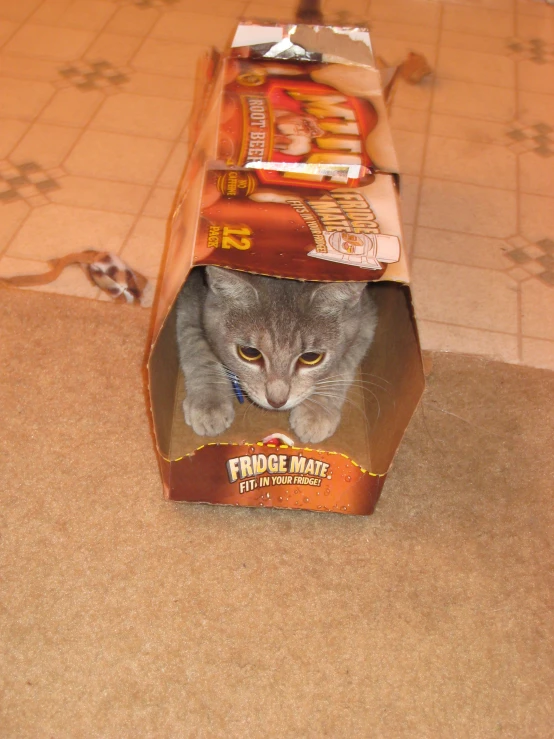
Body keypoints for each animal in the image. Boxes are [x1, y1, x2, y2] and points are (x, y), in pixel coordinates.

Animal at [177, 268, 376, 446]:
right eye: (250, 353)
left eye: (311, 357)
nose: (276, 401)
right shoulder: (190, 302)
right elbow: (201, 351)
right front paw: (209, 404)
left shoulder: (366, 319)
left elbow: (340, 367)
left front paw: (316, 412)